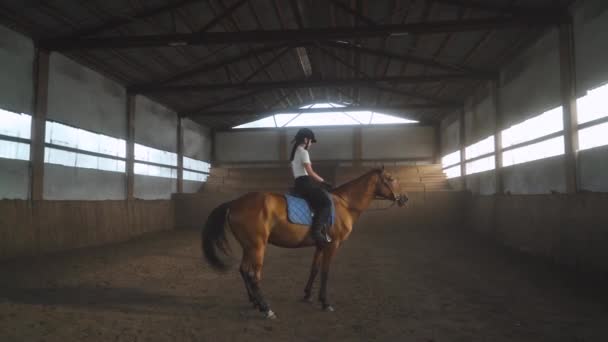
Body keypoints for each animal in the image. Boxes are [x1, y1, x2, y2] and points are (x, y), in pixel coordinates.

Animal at [202, 167, 406, 320]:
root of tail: (234, 203)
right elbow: (325, 272)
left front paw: (307, 295)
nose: (404, 198)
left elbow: (314, 269)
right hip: (257, 246)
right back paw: (266, 308)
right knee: (253, 275)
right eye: (390, 178)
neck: (345, 204)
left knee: (243, 270)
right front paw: (325, 302)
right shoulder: (332, 245)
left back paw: (255, 302)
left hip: (248, 247)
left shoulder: (321, 245)